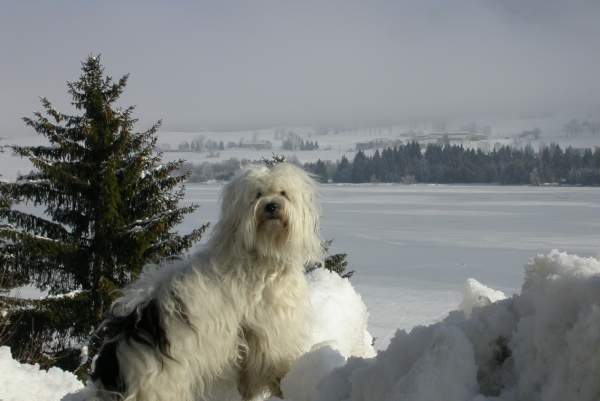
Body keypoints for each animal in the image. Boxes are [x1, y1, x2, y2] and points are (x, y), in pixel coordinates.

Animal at [88, 162, 322, 401]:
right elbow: (274, 367)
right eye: (257, 195)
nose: (271, 206)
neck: (262, 257)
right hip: (162, 386)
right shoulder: (269, 332)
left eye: (283, 193)